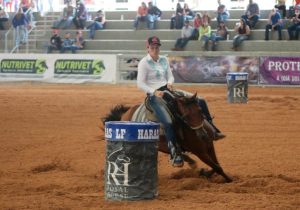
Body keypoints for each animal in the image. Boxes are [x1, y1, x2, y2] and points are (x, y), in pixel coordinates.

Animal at [102, 91, 233, 183]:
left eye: (200, 111)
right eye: (185, 116)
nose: (202, 136)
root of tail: (125, 114)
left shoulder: (210, 146)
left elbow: (217, 165)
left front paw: (204, 173)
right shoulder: (200, 152)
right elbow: (216, 167)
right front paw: (229, 180)